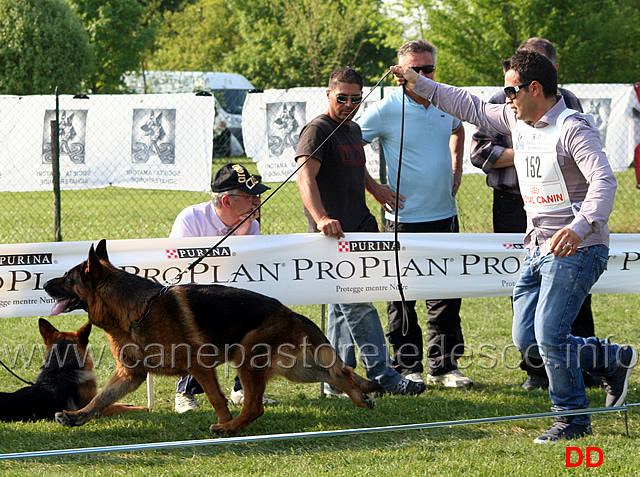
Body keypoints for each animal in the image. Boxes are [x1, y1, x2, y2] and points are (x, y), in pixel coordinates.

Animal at [43, 240, 380, 434]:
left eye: (68, 278)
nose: (45, 284)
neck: (136, 309)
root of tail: (290, 312)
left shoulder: (199, 367)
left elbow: (217, 398)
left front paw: (224, 420)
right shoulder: (130, 374)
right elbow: (101, 399)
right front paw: (77, 417)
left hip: (249, 359)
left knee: (255, 406)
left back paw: (230, 428)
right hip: (297, 370)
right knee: (340, 374)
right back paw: (361, 397)